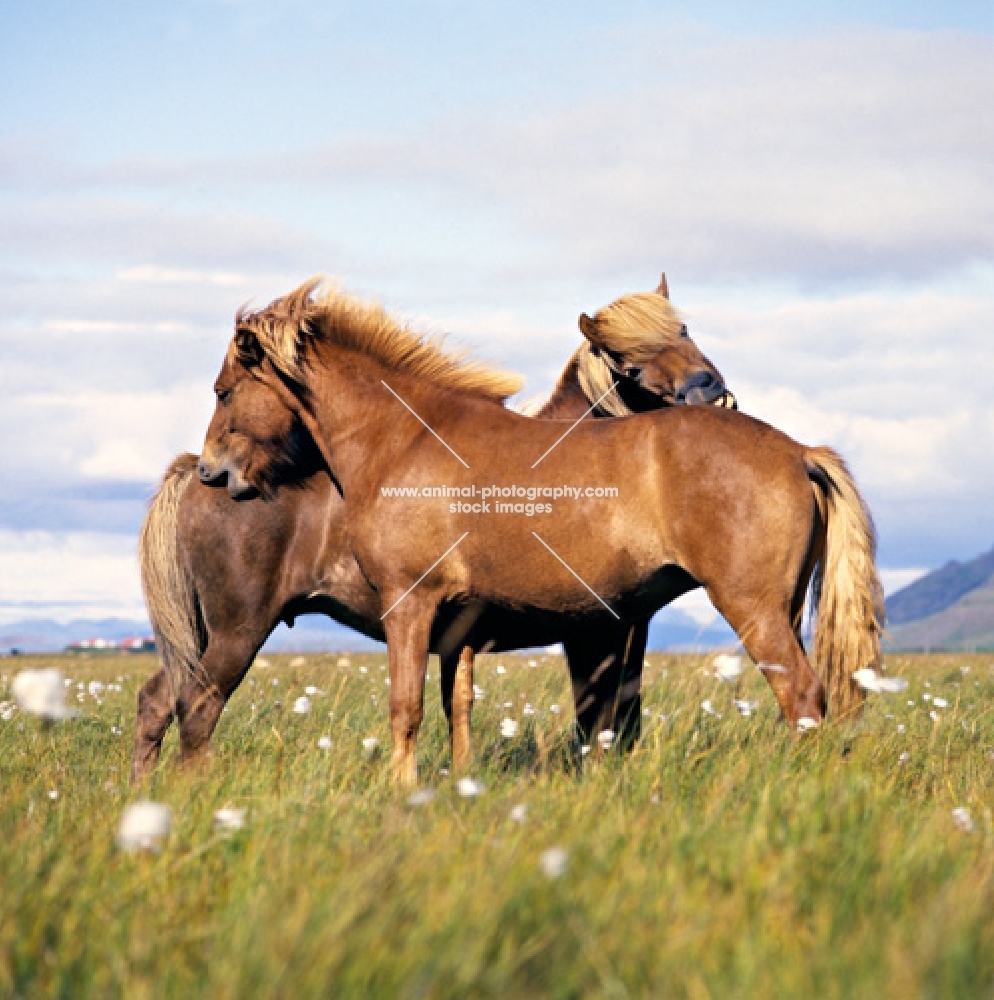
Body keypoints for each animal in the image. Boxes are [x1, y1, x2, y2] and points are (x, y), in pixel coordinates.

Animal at [198, 278, 880, 784]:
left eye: (224, 391)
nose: (213, 470)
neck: (405, 437)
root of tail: (797, 450)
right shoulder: (465, 629)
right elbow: (460, 709)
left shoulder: (411, 605)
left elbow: (406, 709)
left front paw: (401, 792)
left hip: (753, 609)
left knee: (802, 698)